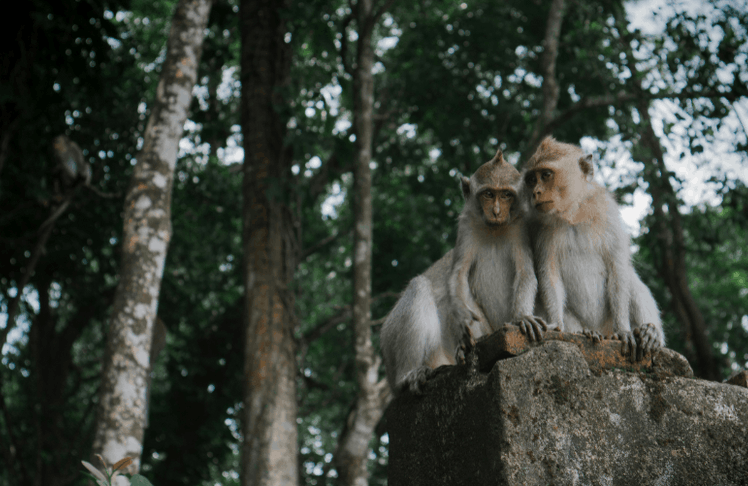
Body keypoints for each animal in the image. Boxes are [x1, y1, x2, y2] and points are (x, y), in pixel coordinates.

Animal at [382, 150, 548, 396]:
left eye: (506, 195)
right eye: (488, 194)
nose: (496, 212)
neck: (494, 229)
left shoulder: (520, 227)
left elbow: (525, 271)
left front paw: (522, 317)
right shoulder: (466, 227)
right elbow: (458, 275)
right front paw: (462, 318)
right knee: (420, 287)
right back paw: (411, 374)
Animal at [524, 137, 664, 360]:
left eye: (545, 175)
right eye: (530, 179)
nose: (536, 193)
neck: (574, 213)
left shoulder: (607, 211)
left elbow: (617, 268)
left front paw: (623, 331)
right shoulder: (541, 228)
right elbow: (549, 273)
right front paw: (557, 324)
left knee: (629, 278)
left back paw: (650, 333)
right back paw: (586, 332)